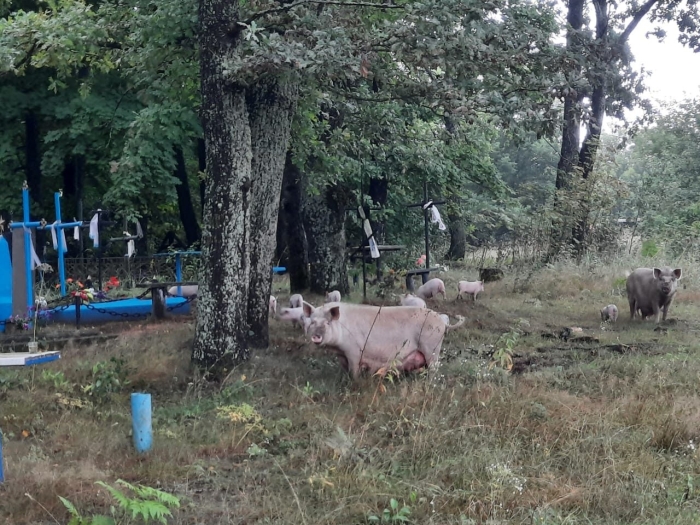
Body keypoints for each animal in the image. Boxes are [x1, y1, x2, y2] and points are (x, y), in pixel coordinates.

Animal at [302, 300, 462, 378]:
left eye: (327, 323)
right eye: (313, 322)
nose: (316, 336)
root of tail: (442, 322)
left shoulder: (354, 351)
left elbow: (354, 370)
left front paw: (354, 381)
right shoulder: (341, 355)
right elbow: (345, 369)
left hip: (432, 347)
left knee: (434, 369)